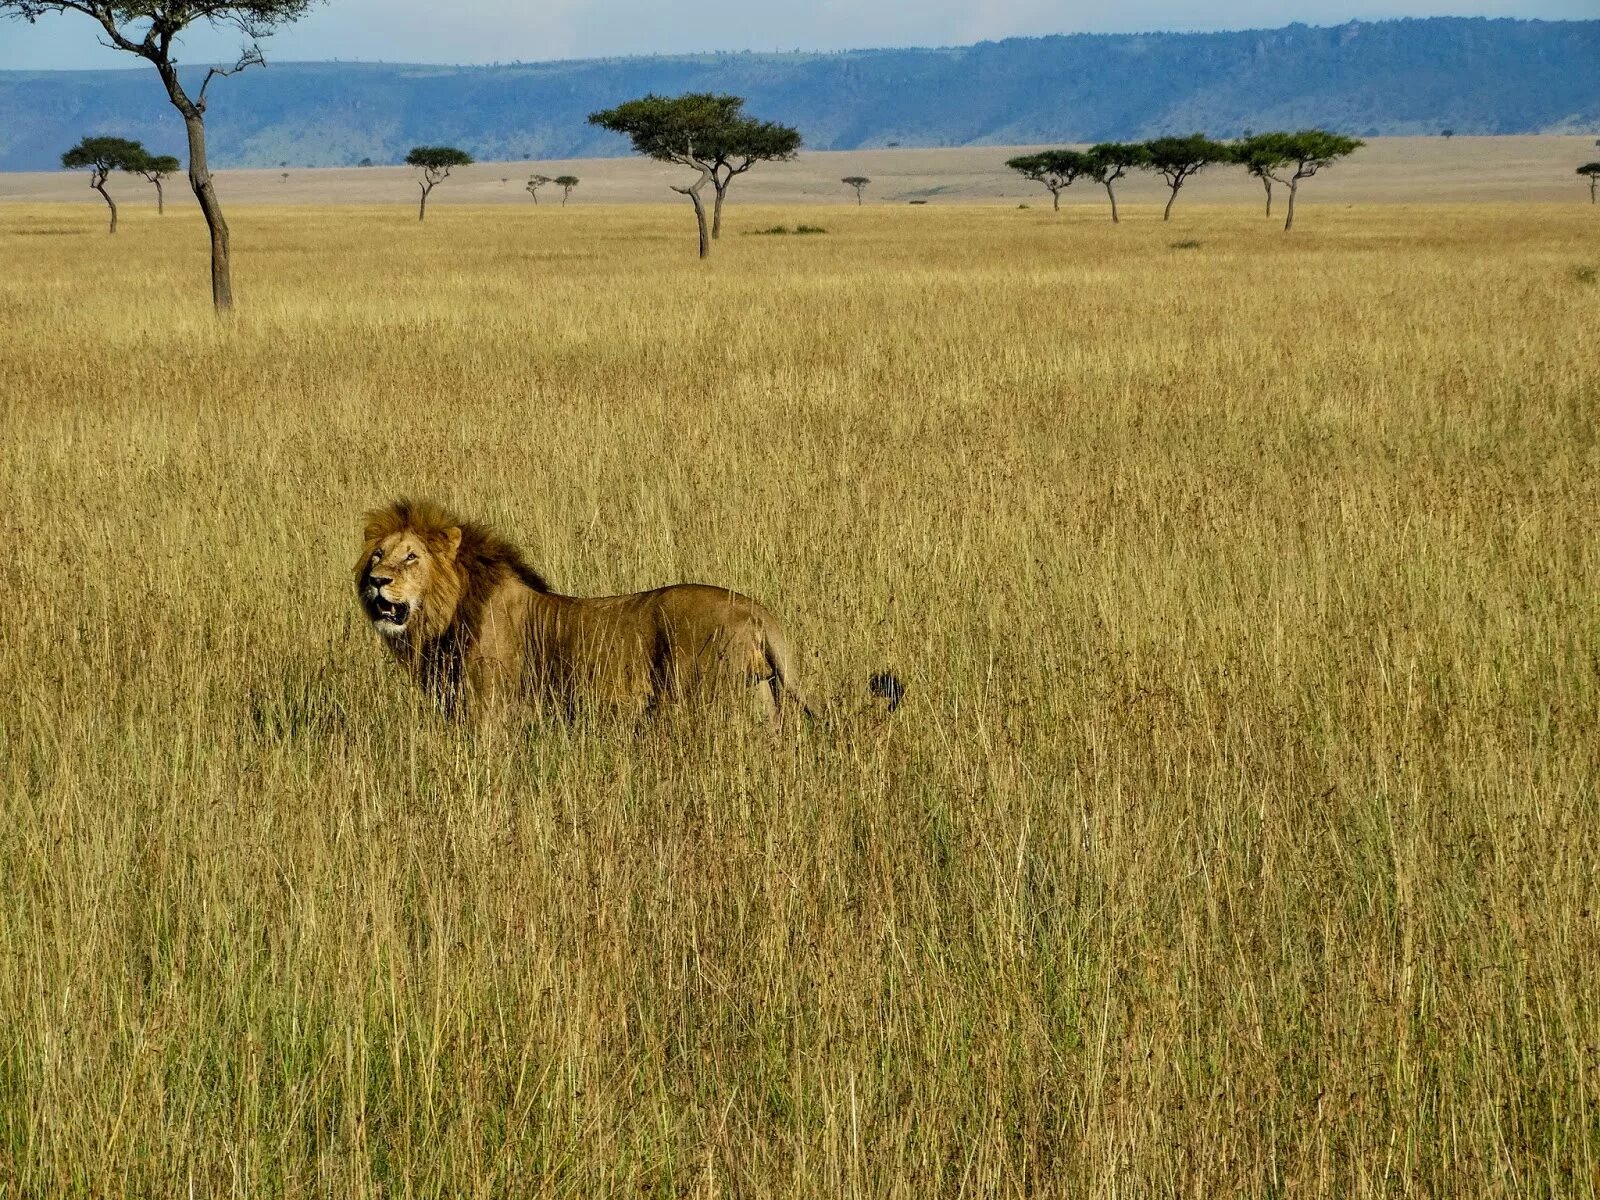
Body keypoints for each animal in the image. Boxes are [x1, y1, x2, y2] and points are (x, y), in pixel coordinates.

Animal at [356, 499, 857, 723]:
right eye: (378, 555)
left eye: (411, 557)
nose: (377, 581)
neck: (446, 616)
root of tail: (758, 612)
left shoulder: (490, 713)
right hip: (759, 701)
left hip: (703, 705)